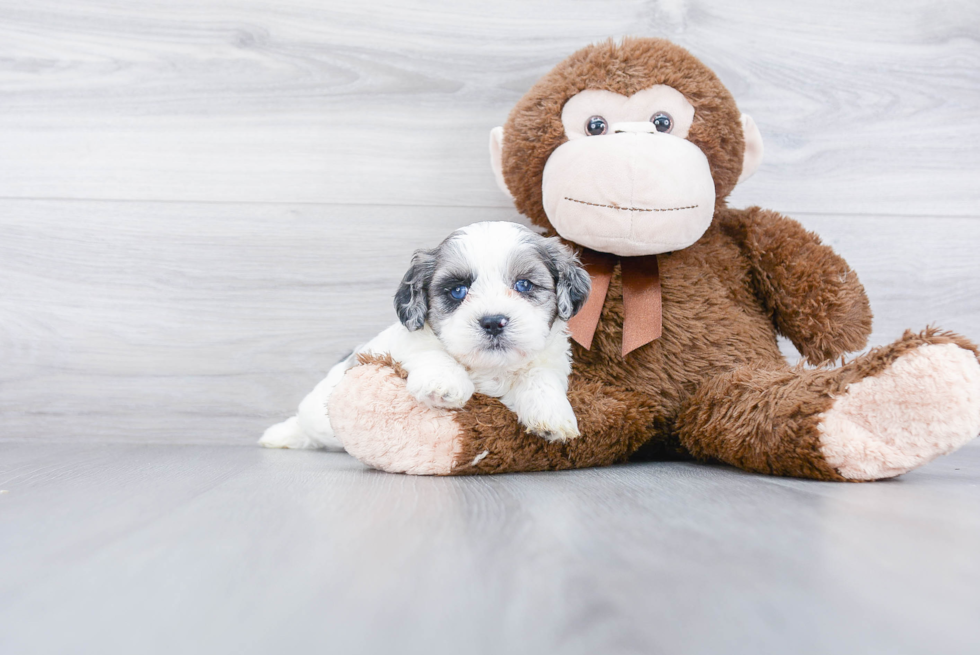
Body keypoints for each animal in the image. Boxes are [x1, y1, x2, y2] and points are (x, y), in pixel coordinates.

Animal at [258, 220, 588, 452]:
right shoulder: (406, 343)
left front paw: (552, 414)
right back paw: (280, 435)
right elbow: (432, 352)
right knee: (306, 422)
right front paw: (444, 384)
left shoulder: (552, 359)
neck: (488, 368)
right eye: (458, 291)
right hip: (318, 408)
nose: (493, 322)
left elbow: (541, 377)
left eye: (524, 285)